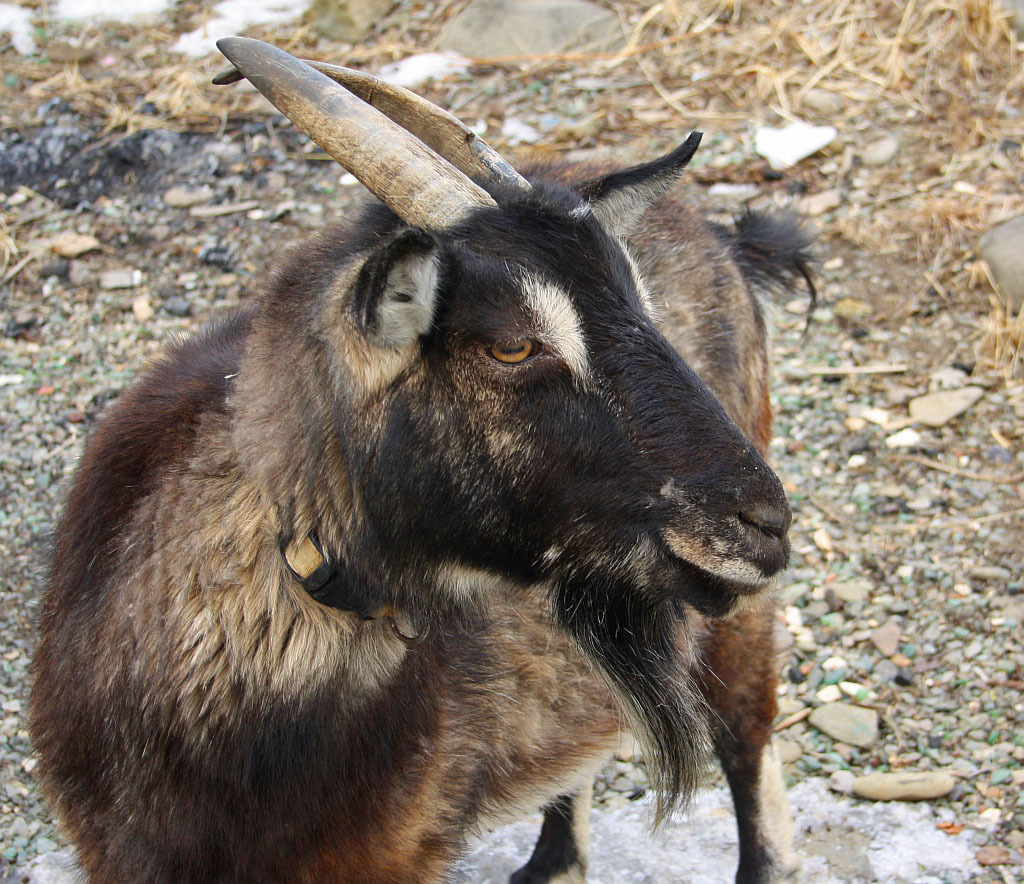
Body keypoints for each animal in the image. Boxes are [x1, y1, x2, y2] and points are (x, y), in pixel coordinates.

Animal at [32, 39, 811, 884]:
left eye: (646, 306)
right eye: (512, 344)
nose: (763, 522)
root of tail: (727, 240)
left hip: (732, 617)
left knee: (750, 733)